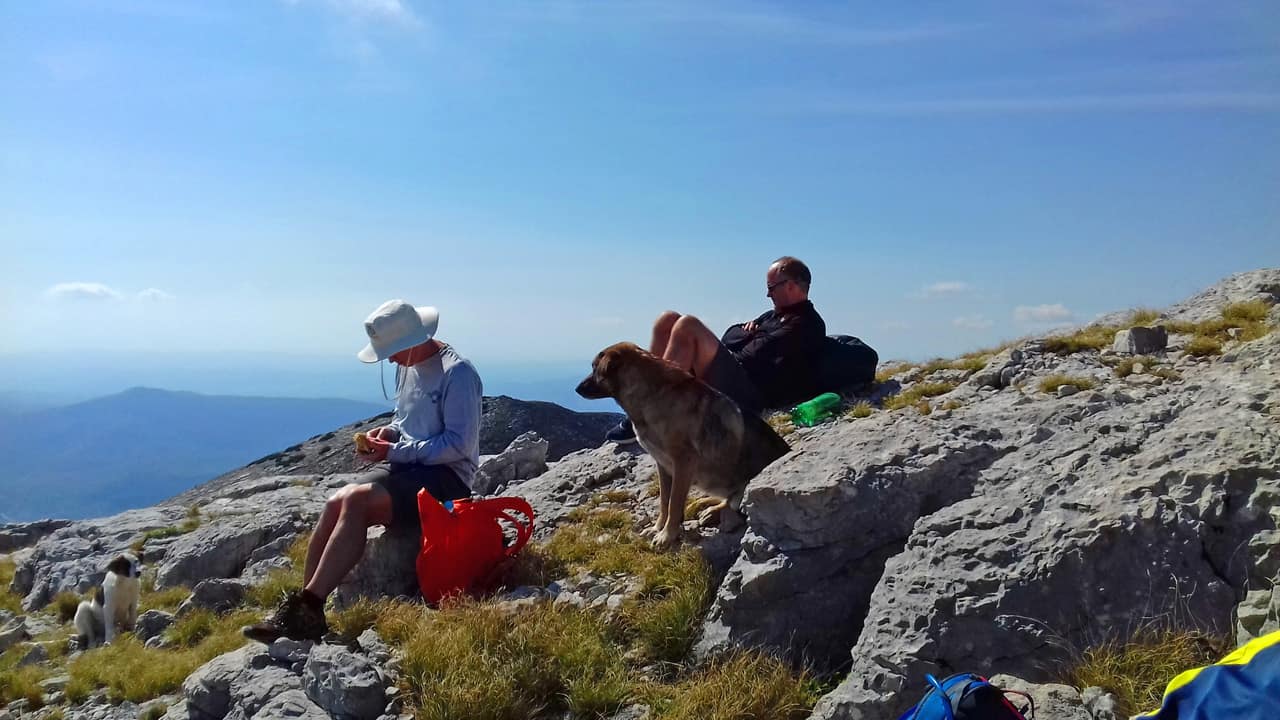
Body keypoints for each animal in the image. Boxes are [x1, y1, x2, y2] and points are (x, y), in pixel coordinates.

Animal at [578, 340, 788, 543]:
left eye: (594, 368)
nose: (576, 389)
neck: (652, 395)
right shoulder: (663, 465)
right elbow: (665, 501)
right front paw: (658, 527)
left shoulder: (683, 462)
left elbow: (674, 502)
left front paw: (666, 535)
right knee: (726, 500)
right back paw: (704, 504)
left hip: (746, 487)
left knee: (732, 504)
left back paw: (711, 510)